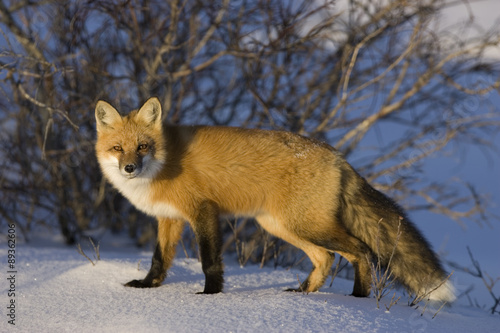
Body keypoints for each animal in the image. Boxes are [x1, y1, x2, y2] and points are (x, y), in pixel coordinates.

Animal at [95, 96, 456, 300]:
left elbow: (209, 260)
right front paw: (148, 287)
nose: (129, 168)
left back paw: (358, 298)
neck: (165, 162)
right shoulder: (169, 218)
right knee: (326, 258)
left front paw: (210, 295)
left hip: (305, 225)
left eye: (143, 146)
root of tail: (338, 156)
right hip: (282, 227)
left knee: (361, 251)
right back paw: (304, 294)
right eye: (118, 148)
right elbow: (159, 260)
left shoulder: (203, 211)